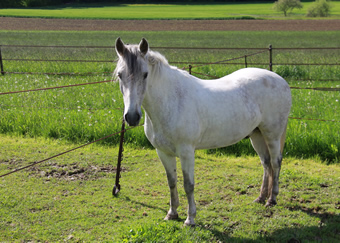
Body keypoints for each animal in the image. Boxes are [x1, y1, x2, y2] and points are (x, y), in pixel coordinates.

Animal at [115, 38, 292, 226]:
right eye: (120, 75)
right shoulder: (163, 152)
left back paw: (271, 199)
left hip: (272, 135)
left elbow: (188, 184)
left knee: (275, 162)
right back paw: (261, 197)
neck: (172, 100)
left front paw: (190, 219)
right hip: (256, 134)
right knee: (266, 163)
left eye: (145, 74)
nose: (132, 117)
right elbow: (172, 182)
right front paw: (172, 213)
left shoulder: (186, 152)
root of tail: (280, 80)